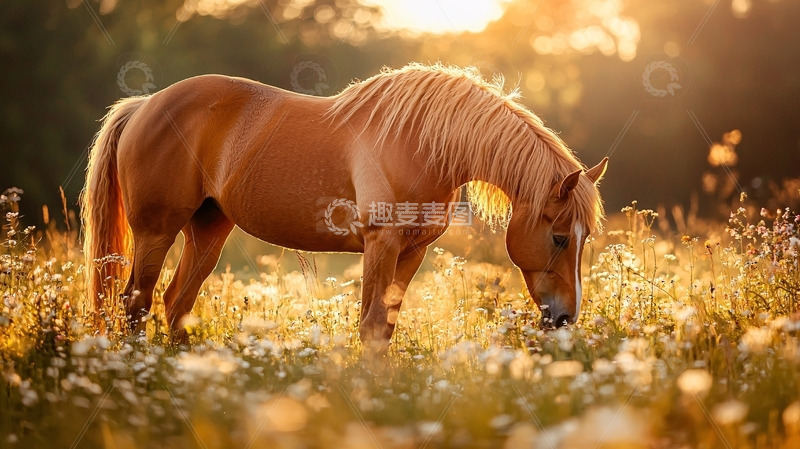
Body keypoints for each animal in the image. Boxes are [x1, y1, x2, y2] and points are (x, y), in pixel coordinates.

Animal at [81, 63, 607, 346]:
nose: (566, 318)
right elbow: (371, 325)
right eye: (560, 237)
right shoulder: (381, 244)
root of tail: (145, 105)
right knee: (136, 302)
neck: (420, 142)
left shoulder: (412, 252)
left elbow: (385, 327)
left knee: (176, 302)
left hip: (208, 229)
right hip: (156, 231)